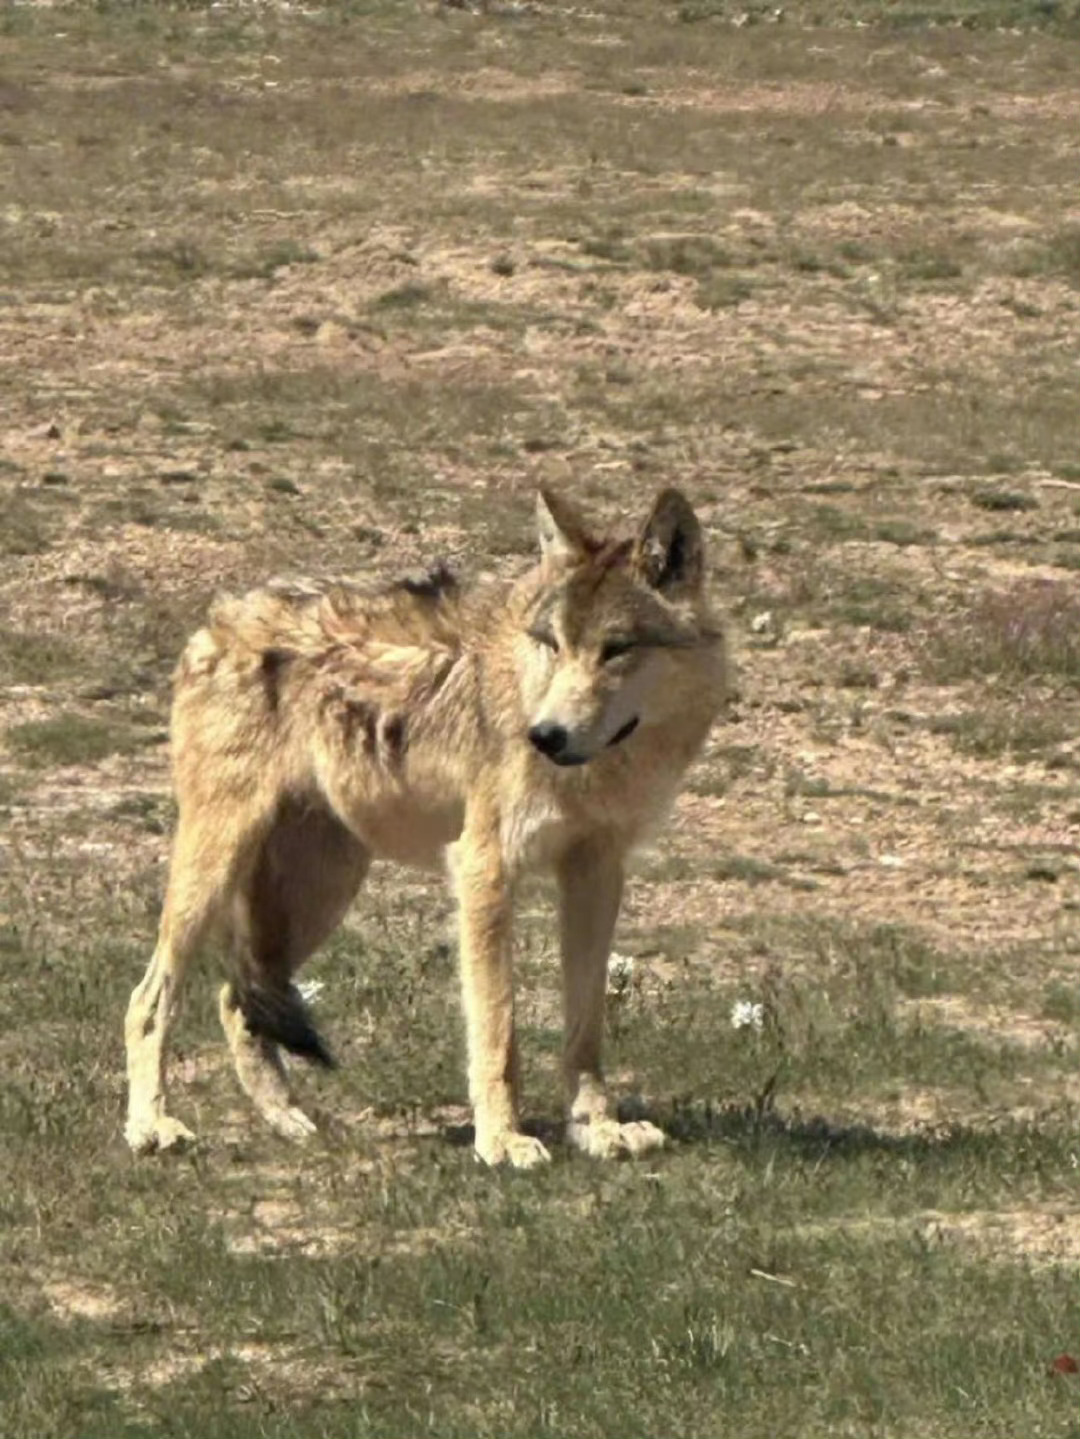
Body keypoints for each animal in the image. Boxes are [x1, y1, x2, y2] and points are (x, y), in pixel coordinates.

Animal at [124, 489, 736, 1162]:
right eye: (552, 643)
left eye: (617, 648)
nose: (544, 736)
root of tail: (219, 615)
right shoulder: (483, 869)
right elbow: (498, 1029)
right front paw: (503, 1140)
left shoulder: (597, 872)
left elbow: (585, 1027)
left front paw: (597, 1128)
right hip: (218, 869)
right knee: (149, 998)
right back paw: (150, 1126)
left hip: (320, 892)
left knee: (236, 999)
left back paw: (289, 1122)